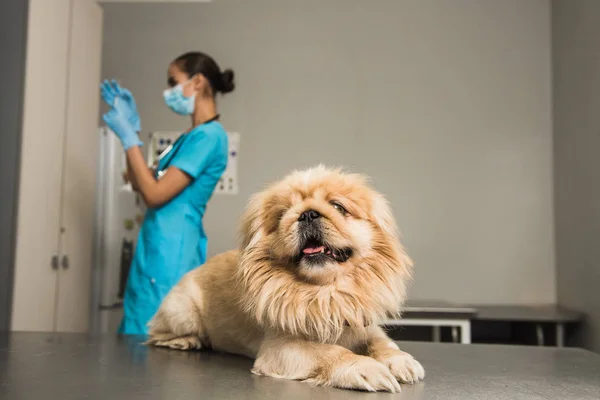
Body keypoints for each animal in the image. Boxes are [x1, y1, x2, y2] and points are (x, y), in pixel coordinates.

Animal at [147, 166, 424, 394]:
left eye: (338, 207)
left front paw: (400, 361)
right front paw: (365, 368)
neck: (326, 292)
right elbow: (329, 351)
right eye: (283, 215)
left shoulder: (362, 324)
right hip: (182, 312)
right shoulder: (281, 347)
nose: (308, 214)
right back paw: (189, 341)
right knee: (156, 333)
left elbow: (382, 342)